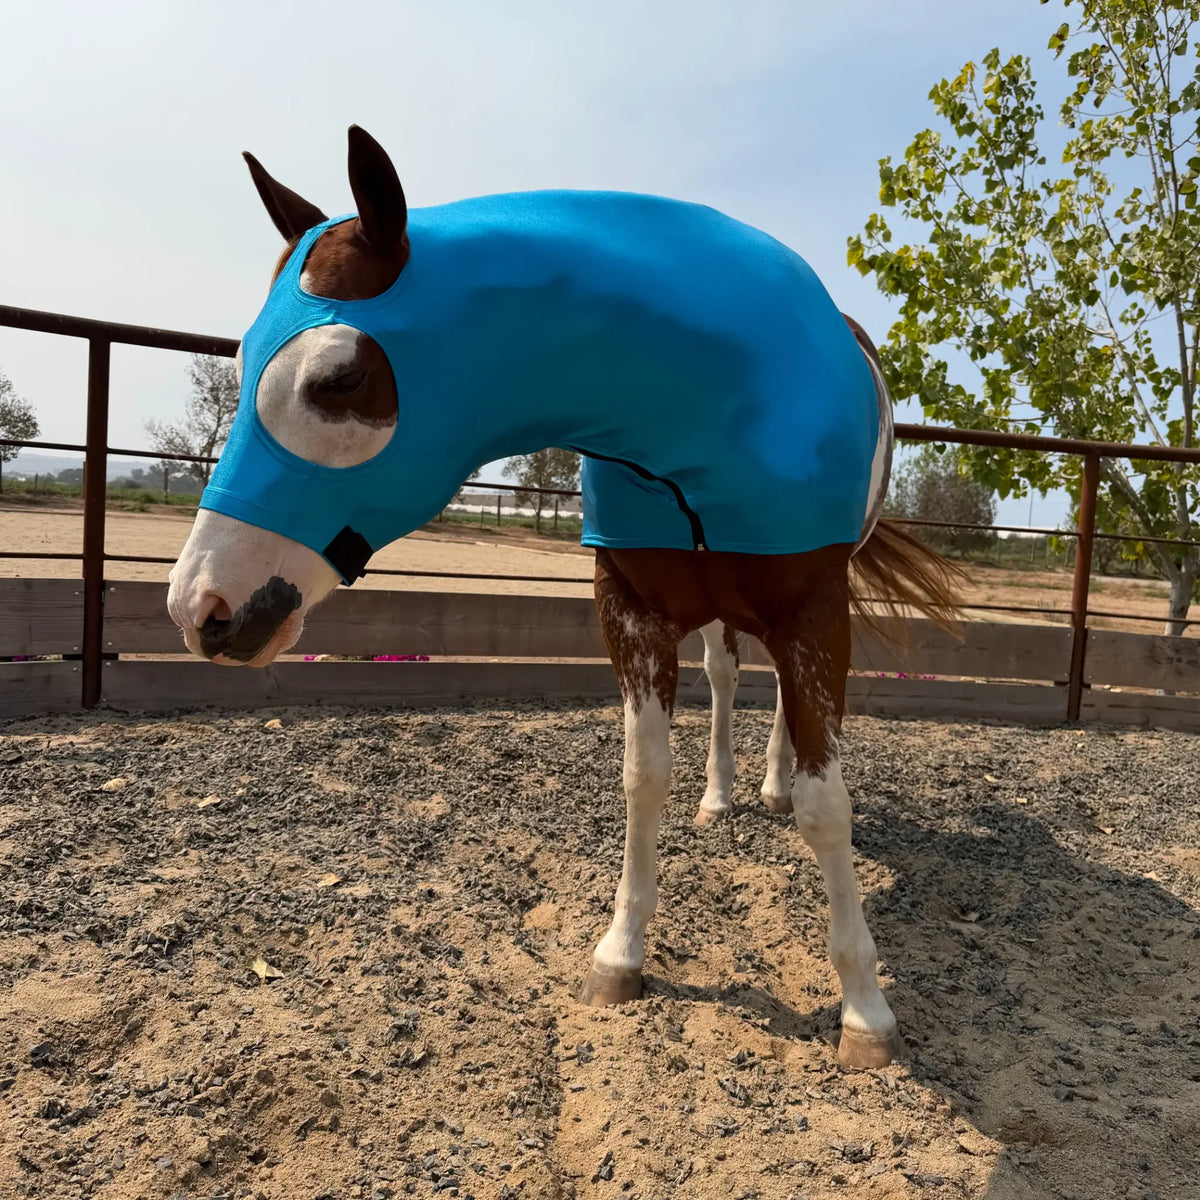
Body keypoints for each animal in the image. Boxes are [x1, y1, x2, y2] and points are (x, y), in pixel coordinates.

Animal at [167, 126, 960, 1070]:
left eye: (338, 380)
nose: (201, 608)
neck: (710, 402)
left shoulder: (813, 610)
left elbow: (826, 807)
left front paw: (865, 1010)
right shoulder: (630, 612)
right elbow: (643, 777)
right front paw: (621, 955)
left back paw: (768, 785)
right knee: (730, 678)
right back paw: (724, 795)